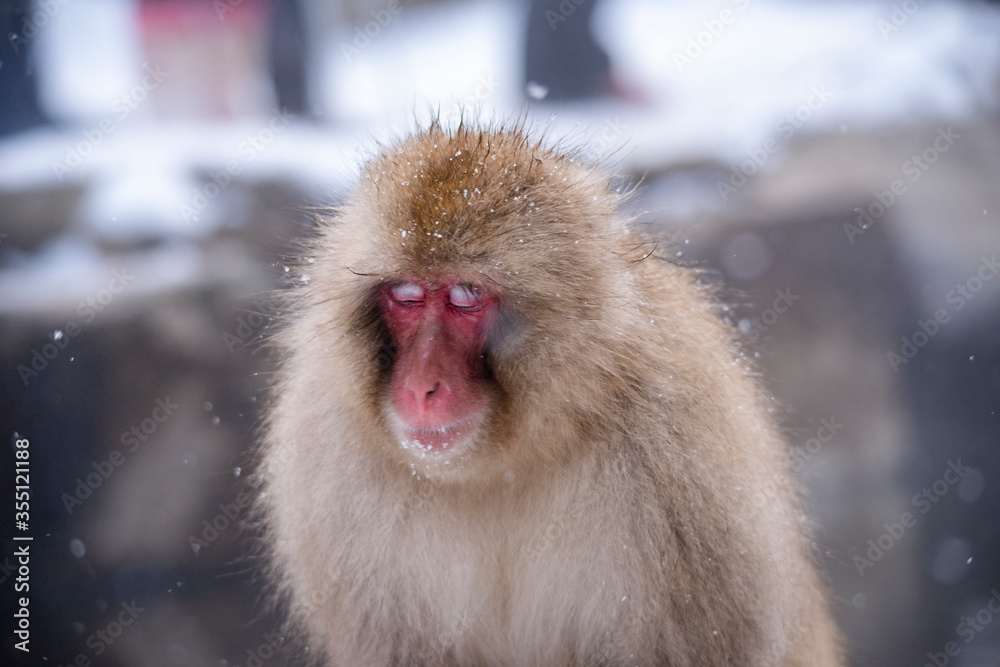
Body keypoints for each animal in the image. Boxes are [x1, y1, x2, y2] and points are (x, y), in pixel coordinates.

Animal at [256, 120, 842, 666]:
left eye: (465, 296)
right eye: (406, 295)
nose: (422, 387)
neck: (499, 465)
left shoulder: (683, 477)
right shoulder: (330, 463)